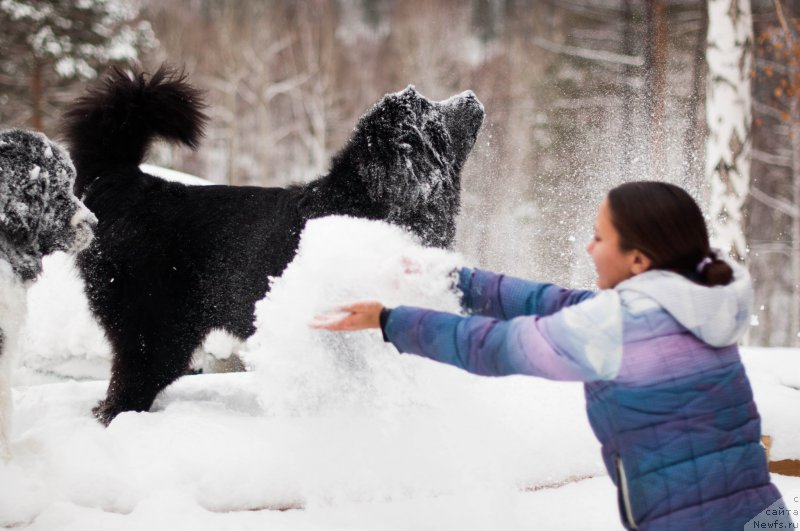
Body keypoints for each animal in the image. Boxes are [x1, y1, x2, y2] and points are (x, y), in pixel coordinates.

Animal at [62, 66, 484, 426]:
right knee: (125, 391)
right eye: (428, 109)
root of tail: (125, 179)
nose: (470, 96)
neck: (372, 201)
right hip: (156, 333)